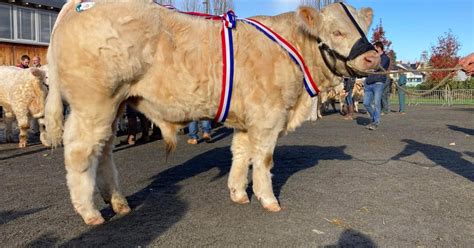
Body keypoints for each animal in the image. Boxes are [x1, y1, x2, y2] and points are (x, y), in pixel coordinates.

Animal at [43, 0, 378, 225]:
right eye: (336, 32)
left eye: (364, 29)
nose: (375, 58)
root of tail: (78, 6)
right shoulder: (268, 117)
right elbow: (264, 160)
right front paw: (268, 199)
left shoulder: (247, 120)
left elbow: (241, 154)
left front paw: (238, 193)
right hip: (92, 105)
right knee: (80, 153)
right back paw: (90, 212)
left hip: (113, 107)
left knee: (103, 152)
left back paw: (119, 203)